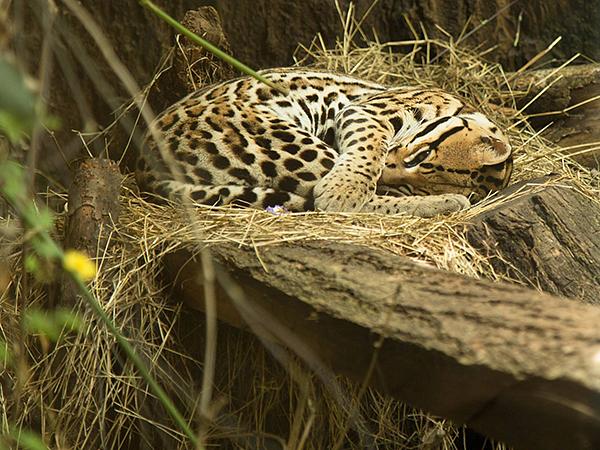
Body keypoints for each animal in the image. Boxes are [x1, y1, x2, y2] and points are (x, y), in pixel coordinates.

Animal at [136, 67, 510, 218]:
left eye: (409, 185)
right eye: (420, 155)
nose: (388, 177)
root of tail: (143, 164)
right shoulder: (368, 109)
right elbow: (368, 151)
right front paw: (345, 188)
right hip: (290, 142)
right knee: (335, 205)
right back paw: (449, 202)